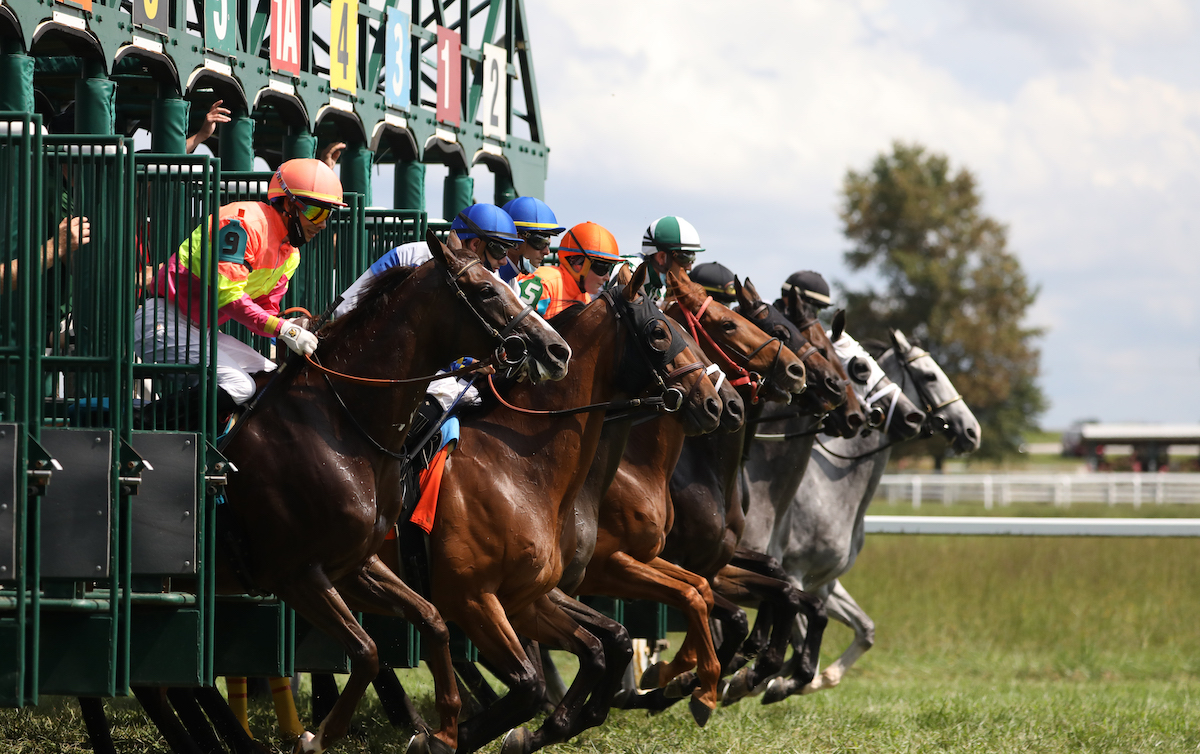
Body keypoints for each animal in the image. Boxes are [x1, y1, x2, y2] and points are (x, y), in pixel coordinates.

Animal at [218, 231, 568, 754]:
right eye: (486, 290)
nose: (556, 349)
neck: (339, 424)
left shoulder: (355, 564)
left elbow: (430, 620)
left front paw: (443, 731)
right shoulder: (295, 573)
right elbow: (366, 651)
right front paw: (319, 737)